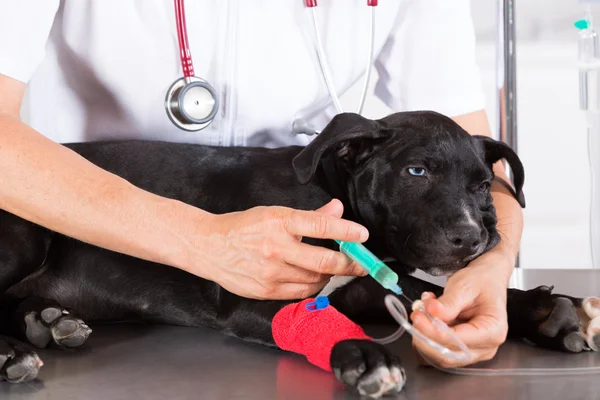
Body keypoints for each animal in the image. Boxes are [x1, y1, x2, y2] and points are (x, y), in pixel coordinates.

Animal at [0, 110, 596, 396]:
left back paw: (47, 322)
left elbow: (418, 289)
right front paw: (365, 356)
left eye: (481, 186)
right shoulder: (255, 295)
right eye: (416, 171)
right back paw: (16, 351)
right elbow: (329, 321)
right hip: (24, 237)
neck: (337, 200)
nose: (474, 237)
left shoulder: (364, 283)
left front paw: (543, 310)